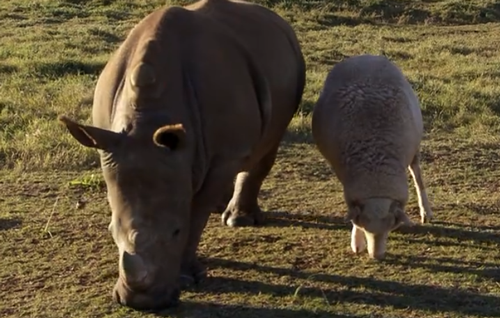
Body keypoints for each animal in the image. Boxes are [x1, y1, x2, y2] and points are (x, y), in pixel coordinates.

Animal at [56, 0, 302, 310]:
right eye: (111, 231)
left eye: (176, 231)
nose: (141, 303)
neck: (146, 118)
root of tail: (275, 18)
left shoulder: (226, 156)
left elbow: (195, 214)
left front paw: (187, 277)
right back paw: (221, 208)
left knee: (267, 144)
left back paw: (238, 220)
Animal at [312, 53, 434, 260]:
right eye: (363, 225)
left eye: (390, 226)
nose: (376, 256)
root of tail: (365, 56)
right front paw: (357, 241)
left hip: (415, 150)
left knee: (417, 175)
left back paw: (425, 210)